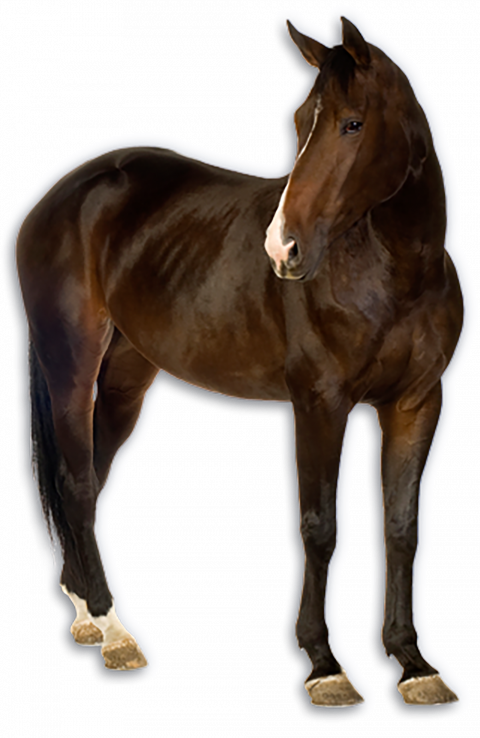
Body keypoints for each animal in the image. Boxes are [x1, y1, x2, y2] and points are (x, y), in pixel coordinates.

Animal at [12, 14, 466, 712]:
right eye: (302, 122)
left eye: (353, 123)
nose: (283, 249)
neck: (391, 272)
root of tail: (62, 194)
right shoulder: (318, 402)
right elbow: (318, 527)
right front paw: (325, 667)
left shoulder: (416, 403)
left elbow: (400, 528)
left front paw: (413, 667)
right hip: (72, 359)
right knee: (74, 479)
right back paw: (114, 632)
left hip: (126, 372)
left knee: (86, 472)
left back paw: (88, 614)